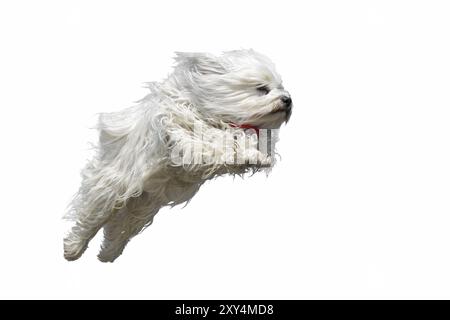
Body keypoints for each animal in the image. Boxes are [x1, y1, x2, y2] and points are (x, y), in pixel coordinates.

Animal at [65, 48, 294, 262]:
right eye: (262, 89)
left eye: (280, 87)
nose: (288, 100)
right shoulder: (179, 126)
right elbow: (210, 138)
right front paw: (245, 150)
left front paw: (257, 156)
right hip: (113, 187)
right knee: (92, 216)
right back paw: (72, 248)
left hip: (142, 206)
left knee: (120, 228)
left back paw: (108, 253)